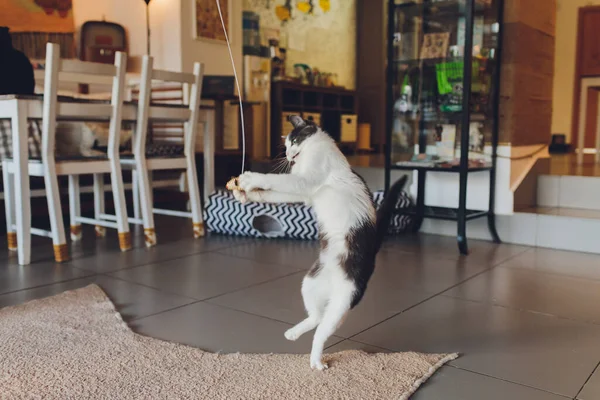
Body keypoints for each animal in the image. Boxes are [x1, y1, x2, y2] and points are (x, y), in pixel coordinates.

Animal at [233, 115, 408, 368]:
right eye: (286, 146)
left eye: (294, 141)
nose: (289, 155)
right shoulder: (304, 193)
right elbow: (277, 193)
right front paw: (247, 194)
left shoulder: (306, 180)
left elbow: (277, 180)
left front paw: (250, 179)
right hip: (310, 283)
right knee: (316, 317)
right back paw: (294, 333)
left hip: (343, 302)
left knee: (321, 331)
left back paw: (316, 362)